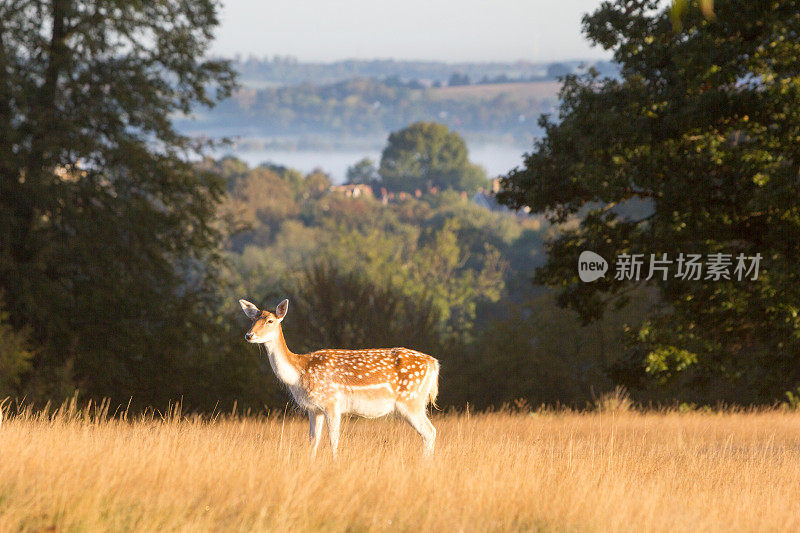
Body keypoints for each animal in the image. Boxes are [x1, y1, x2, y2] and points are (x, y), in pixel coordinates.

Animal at [239, 298, 438, 456]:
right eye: (252, 319)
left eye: (270, 320)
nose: (249, 335)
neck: (299, 372)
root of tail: (434, 364)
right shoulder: (313, 409)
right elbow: (313, 441)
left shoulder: (332, 403)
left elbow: (333, 440)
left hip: (410, 401)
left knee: (429, 432)